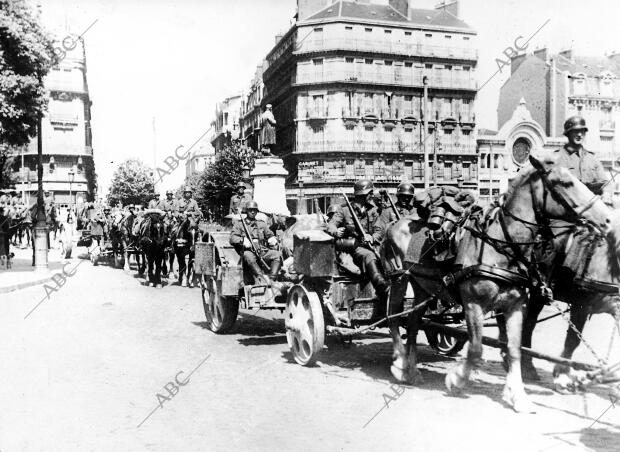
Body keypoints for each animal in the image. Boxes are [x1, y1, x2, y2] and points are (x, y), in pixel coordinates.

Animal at [380, 155, 612, 414]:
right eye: (565, 183)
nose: (606, 218)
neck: (501, 245)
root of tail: (395, 223)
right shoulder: (473, 304)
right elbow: (476, 349)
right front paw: (457, 379)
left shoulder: (515, 306)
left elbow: (514, 349)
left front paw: (518, 396)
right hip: (399, 280)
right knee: (392, 317)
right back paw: (400, 362)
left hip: (422, 287)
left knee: (413, 322)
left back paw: (410, 370)